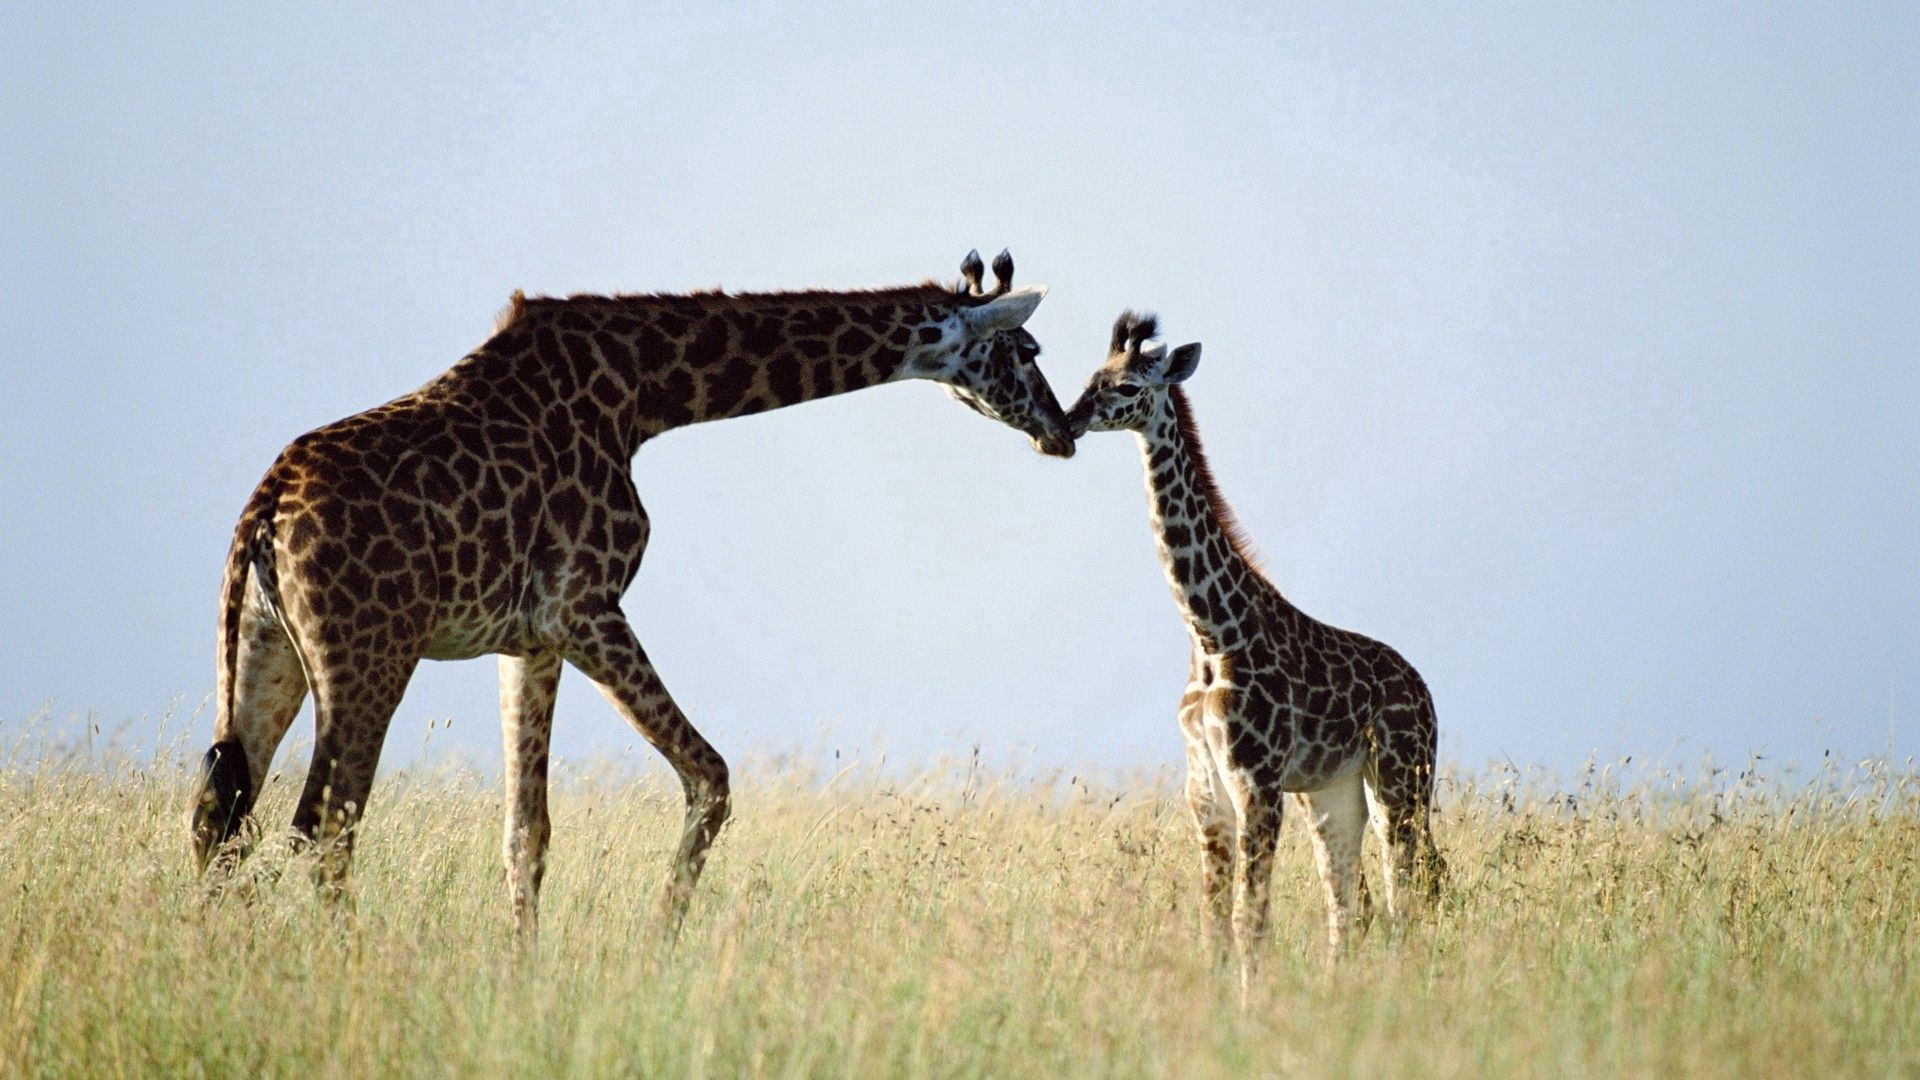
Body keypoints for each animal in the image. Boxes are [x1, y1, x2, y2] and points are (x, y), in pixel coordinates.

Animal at [191, 247, 1082, 937]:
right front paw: (659, 944)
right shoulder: (585, 606)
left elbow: (526, 834)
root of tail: (263, 515)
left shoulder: (529, 640)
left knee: (221, 819)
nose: (1062, 431)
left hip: (266, 652)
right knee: (321, 826)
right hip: (368, 657)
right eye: (1028, 348)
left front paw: (525, 980)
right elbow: (711, 777)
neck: (645, 395)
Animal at [1067, 311, 1443, 983]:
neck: (1211, 633)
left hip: (1401, 778)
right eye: (1092, 377)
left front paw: (1249, 1002)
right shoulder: (1206, 789)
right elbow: (1214, 922)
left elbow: (1250, 921)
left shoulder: (1258, 782)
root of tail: (1429, 695)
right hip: (1333, 793)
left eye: (1127, 386)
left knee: (1410, 886)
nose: (1069, 418)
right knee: (1350, 904)